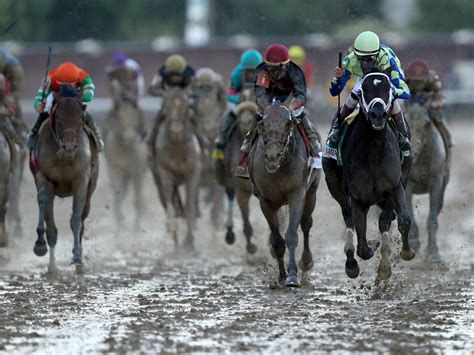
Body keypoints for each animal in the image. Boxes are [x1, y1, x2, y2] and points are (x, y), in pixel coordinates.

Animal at [29, 86, 99, 276]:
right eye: (58, 116)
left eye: (80, 116)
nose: (69, 146)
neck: (63, 157)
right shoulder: (43, 176)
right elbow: (44, 202)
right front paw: (41, 248)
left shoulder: (81, 180)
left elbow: (76, 220)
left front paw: (77, 259)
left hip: (91, 189)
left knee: (82, 219)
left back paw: (79, 260)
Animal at [103, 94, 146, 228]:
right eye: (118, 117)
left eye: (137, 115)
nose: (130, 137)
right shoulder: (115, 169)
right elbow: (118, 193)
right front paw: (120, 223)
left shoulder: (138, 173)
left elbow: (137, 200)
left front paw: (137, 227)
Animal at [248, 99, 322, 286]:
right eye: (262, 123)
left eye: (288, 124)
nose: (272, 157)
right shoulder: (265, 201)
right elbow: (277, 240)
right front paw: (282, 275)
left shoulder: (297, 193)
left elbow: (291, 235)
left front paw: (293, 275)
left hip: (311, 192)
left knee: (306, 223)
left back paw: (306, 261)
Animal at [404, 103, 448, 264]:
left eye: (427, 124)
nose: (412, 152)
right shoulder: (407, 184)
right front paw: (413, 244)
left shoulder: (436, 182)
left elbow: (432, 219)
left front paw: (433, 253)